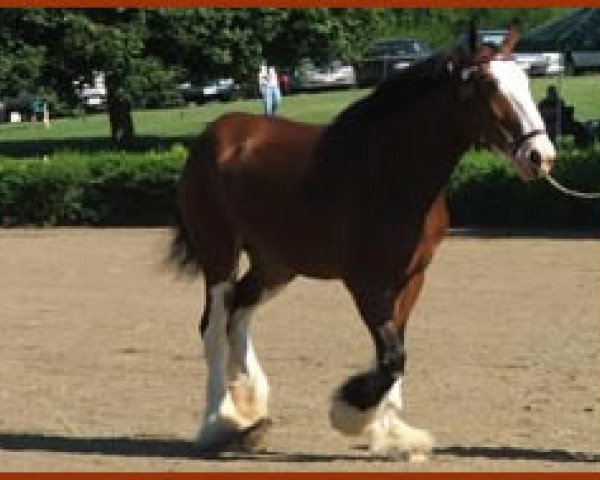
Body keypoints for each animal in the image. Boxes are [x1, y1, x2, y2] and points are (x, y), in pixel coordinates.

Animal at [171, 23, 556, 462]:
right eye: (488, 85)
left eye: (525, 79)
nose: (540, 156)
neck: (390, 172)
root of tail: (215, 134)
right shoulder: (366, 284)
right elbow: (391, 357)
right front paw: (351, 415)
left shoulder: (411, 278)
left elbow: (393, 351)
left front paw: (390, 433)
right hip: (218, 254)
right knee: (214, 327)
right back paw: (219, 424)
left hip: (276, 264)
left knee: (238, 314)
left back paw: (252, 412)